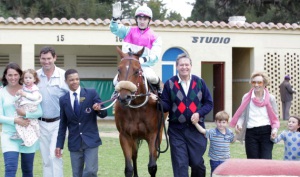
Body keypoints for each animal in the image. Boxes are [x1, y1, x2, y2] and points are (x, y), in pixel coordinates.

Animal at [113, 46, 168, 177]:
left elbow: (152, 166)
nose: (124, 97)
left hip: (160, 132)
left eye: (137, 71)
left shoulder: (153, 135)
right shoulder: (125, 136)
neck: (137, 108)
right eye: (119, 69)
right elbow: (129, 168)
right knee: (134, 155)